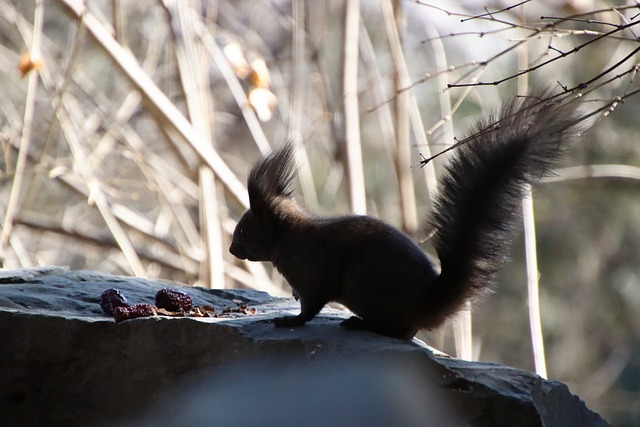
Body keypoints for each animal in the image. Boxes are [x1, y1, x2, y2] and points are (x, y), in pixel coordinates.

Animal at [230, 88, 580, 340]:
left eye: (244, 230)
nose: (232, 250)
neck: (287, 236)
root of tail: (428, 304)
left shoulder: (312, 273)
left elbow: (311, 305)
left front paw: (289, 320)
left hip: (365, 285)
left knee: (402, 331)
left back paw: (360, 324)